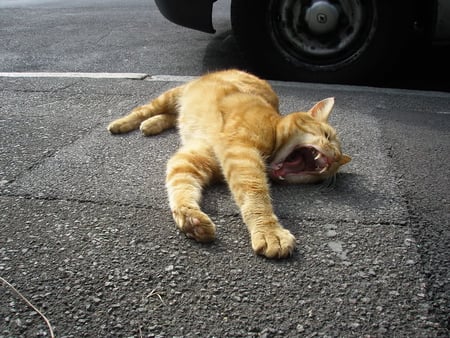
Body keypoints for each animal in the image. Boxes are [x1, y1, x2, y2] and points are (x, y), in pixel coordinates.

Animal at [107, 68, 350, 258]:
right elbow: (256, 196)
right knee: (145, 109)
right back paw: (122, 123)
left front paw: (190, 219)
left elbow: (181, 186)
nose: (336, 158)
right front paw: (270, 232)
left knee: (171, 117)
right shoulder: (242, 154)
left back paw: (152, 125)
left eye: (338, 163)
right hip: (171, 95)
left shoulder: (191, 160)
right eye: (327, 136)